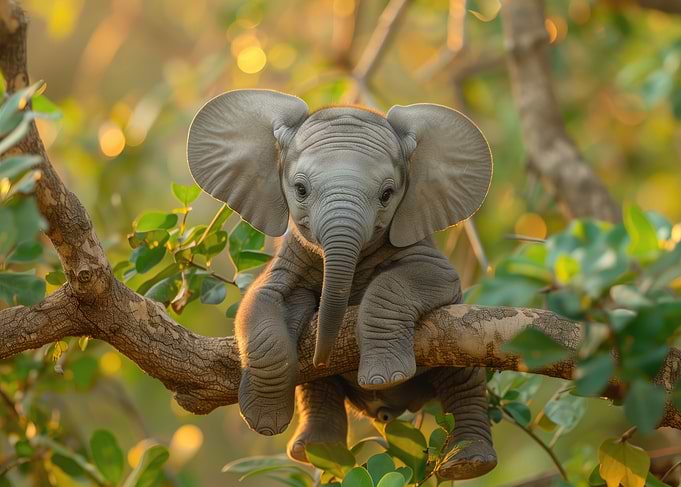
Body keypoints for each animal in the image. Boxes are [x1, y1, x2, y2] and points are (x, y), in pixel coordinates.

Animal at [186, 89, 496, 479]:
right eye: (300, 189)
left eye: (387, 194)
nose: (322, 357)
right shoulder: (292, 254)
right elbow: (259, 305)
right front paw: (264, 422)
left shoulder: (428, 255)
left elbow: (414, 280)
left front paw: (384, 377)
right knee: (318, 388)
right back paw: (316, 450)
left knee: (464, 375)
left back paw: (468, 463)